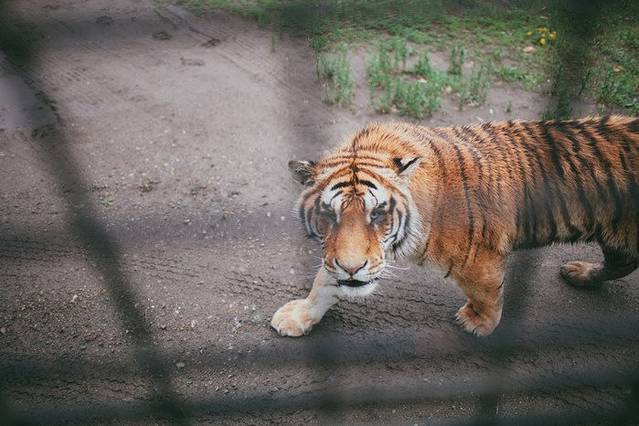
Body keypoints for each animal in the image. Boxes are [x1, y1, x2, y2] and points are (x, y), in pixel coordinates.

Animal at [271, 116, 639, 337]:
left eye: (377, 214)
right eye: (329, 215)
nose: (351, 268)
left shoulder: (481, 259)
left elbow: (487, 293)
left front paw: (478, 324)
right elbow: (324, 281)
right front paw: (299, 315)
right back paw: (579, 273)